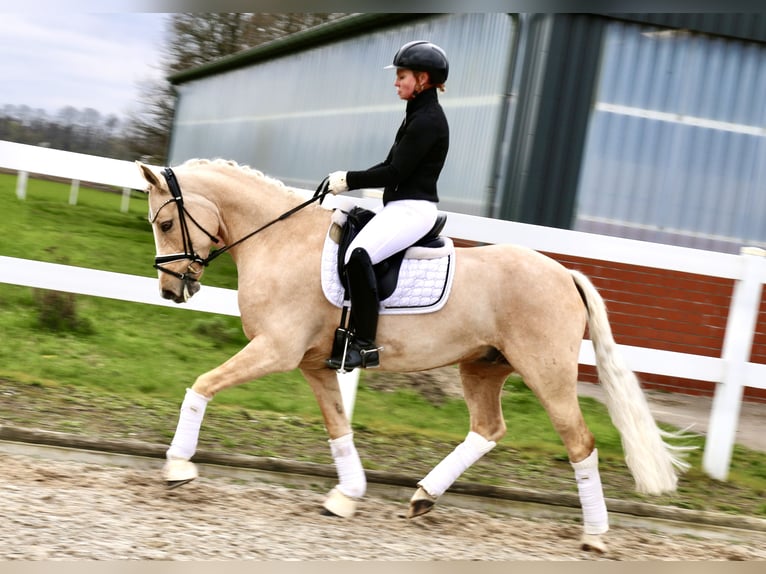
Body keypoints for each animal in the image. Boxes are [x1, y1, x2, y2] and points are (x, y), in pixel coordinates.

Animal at [136, 160, 688, 556]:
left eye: (165, 221)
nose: (170, 290)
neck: (280, 241)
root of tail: (564, 273)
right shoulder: (312, 364)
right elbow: (338, 427)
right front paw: (347, 495)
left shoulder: (275, 349)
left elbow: (202, 385)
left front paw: (178, 466)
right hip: (482, 366)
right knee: (488, 428)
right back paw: (424, 497)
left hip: (546, 375)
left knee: (579, 442)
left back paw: (594, 535)